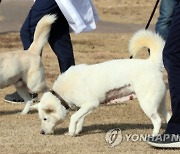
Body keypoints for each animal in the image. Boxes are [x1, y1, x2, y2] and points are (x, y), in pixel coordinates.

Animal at [32, 29, 172, 135]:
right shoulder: (84, 107)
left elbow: (74, 117)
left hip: (147, 104)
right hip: (159, 103)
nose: (42, 132)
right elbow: (80, 118)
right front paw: (77, 131)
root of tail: (151, 63)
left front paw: (71, 132)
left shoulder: (91, 103)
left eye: (45, 118)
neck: (62, 93)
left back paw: (153, 135)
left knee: (158, 120)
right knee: (169, 116)